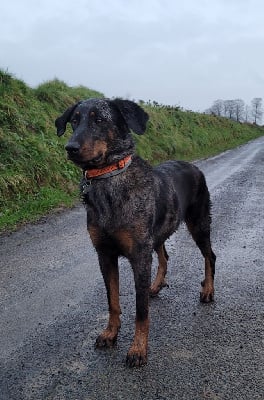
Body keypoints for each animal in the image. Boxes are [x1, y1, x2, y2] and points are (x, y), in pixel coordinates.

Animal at [54, 98, 216, 368]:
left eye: (100, 119)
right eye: (74, 121)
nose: (70, 148)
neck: (109, 178)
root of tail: (194, 167)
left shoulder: (139, 254)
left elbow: (141, 311)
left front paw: (138, 348)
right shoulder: (105, 254)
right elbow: (112, 300)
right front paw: (110, 333)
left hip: (199, 223)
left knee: (209, 256)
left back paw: (208, 290)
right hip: (158, 233)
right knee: (164, 256)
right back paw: (156, 286)